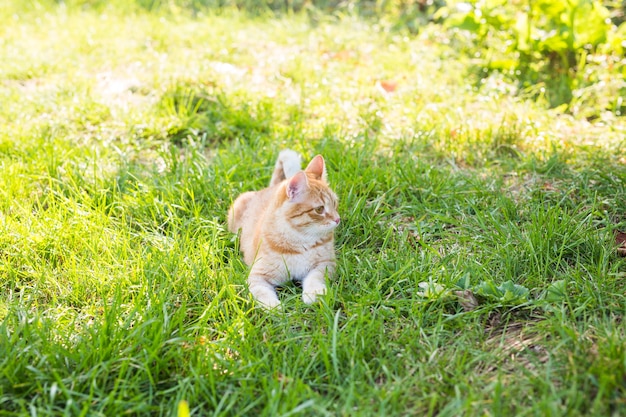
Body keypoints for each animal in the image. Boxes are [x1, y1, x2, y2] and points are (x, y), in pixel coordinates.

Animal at [227, 148, 338, 308]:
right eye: (319, 209)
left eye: (335, 204)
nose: (337, 219)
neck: (300, 242)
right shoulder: (257, 276)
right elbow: (262, 292)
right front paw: (273, 306)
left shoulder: (325, 264)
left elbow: (314, 278)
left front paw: (313, 293)